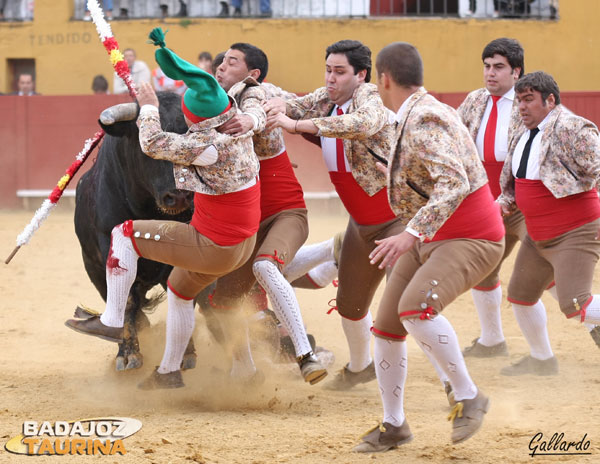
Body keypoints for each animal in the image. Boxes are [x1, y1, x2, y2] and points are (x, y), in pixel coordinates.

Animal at [73, 91, 197, 370]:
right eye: (146, 143)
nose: (180, 196)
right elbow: (126, 300)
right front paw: (129, 354)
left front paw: (185, 353)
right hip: (93, 269)